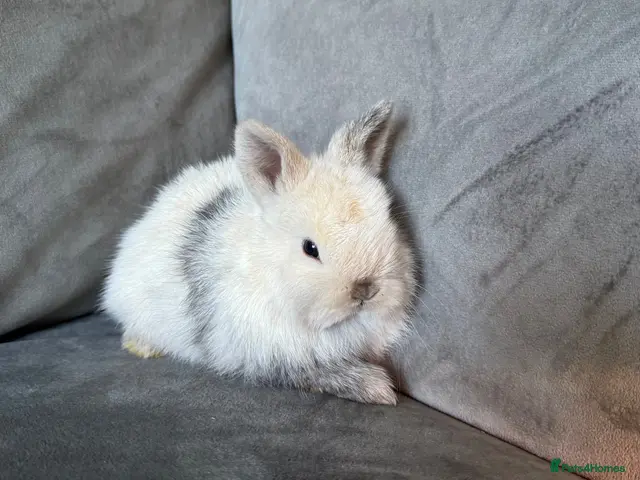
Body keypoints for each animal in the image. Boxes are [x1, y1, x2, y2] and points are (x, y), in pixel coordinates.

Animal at [100, 101, 417, 405]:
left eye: (388, 224)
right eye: (310, 248)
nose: (365, 290)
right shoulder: (269, 356)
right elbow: (314, 373)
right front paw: (377, 389)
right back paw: (143, 347)